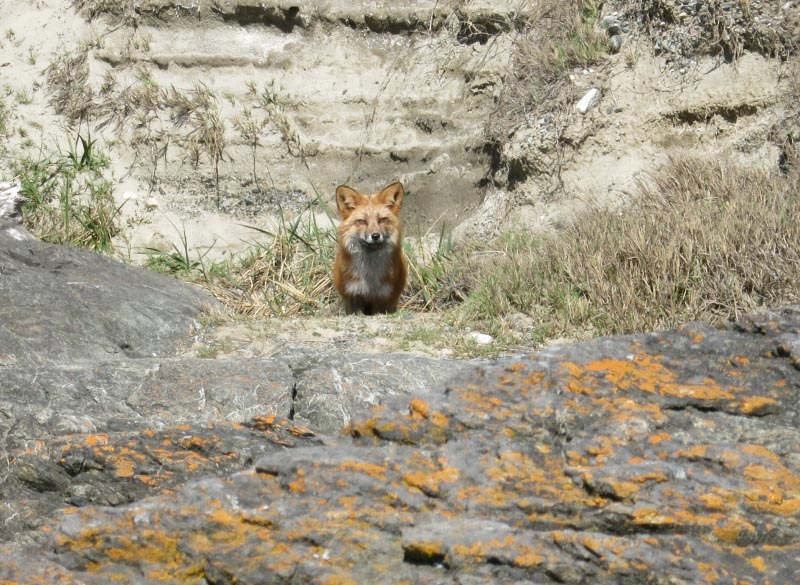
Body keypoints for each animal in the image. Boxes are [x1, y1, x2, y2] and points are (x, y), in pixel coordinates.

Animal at [332, 181, 407, 315]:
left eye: (382, 220)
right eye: (361, 221)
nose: (375, 236)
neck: (370, 277)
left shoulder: (383, 297)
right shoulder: (352, 295)